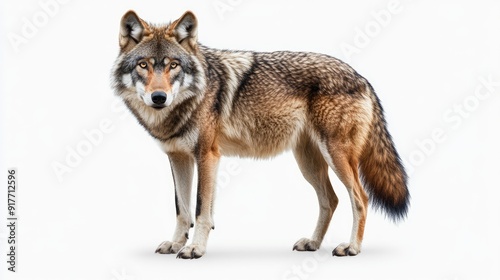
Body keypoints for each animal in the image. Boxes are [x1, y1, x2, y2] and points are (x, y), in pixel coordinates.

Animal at [112, 10, 410, 260]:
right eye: (143, 65)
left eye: (173, 65)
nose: (158, 97)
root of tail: (362, 77)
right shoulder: (178, 158)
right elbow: (182, 210)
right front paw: (175, 244)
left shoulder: (207, 156)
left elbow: (201, 209)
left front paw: (195, 248)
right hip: (309, 164)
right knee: (331, 200)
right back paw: (313, 243)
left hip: (336, 157)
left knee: (361, 198)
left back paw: (352, 247)